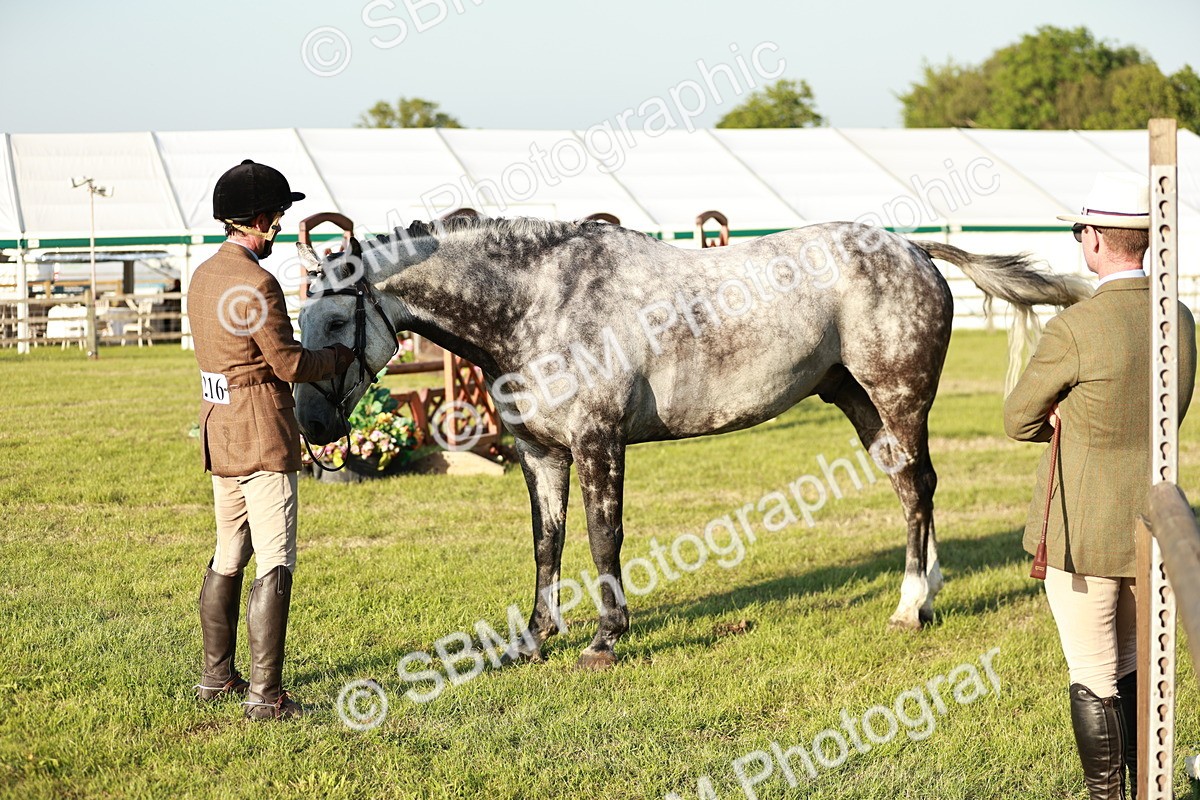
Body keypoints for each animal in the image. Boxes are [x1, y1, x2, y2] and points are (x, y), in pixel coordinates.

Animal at [294, 216, 1089, 670]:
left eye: (333, 322)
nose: (314, 430)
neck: (538, 301)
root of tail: (913, 249)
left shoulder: (598, 444)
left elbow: (602, 539)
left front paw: (604, 640)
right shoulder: (539, 454)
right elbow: (547, 544)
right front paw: (534, 639)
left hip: (897, 397)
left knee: (919, 488)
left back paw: (911, 606)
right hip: (857, 401)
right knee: (908, 488)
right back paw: (927, 589)